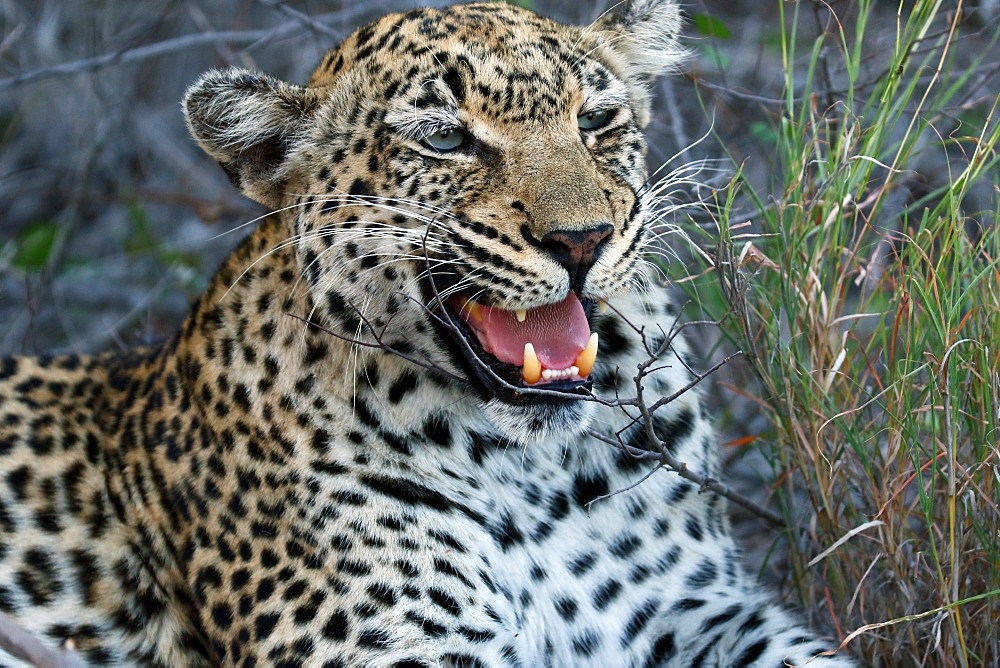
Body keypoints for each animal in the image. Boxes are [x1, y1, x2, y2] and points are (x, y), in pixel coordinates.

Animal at [1, 2, 852, 664]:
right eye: (445, 139)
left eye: (595, 121)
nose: (583, 240)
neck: (535, 475)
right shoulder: (391, 648)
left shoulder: (698, 607)